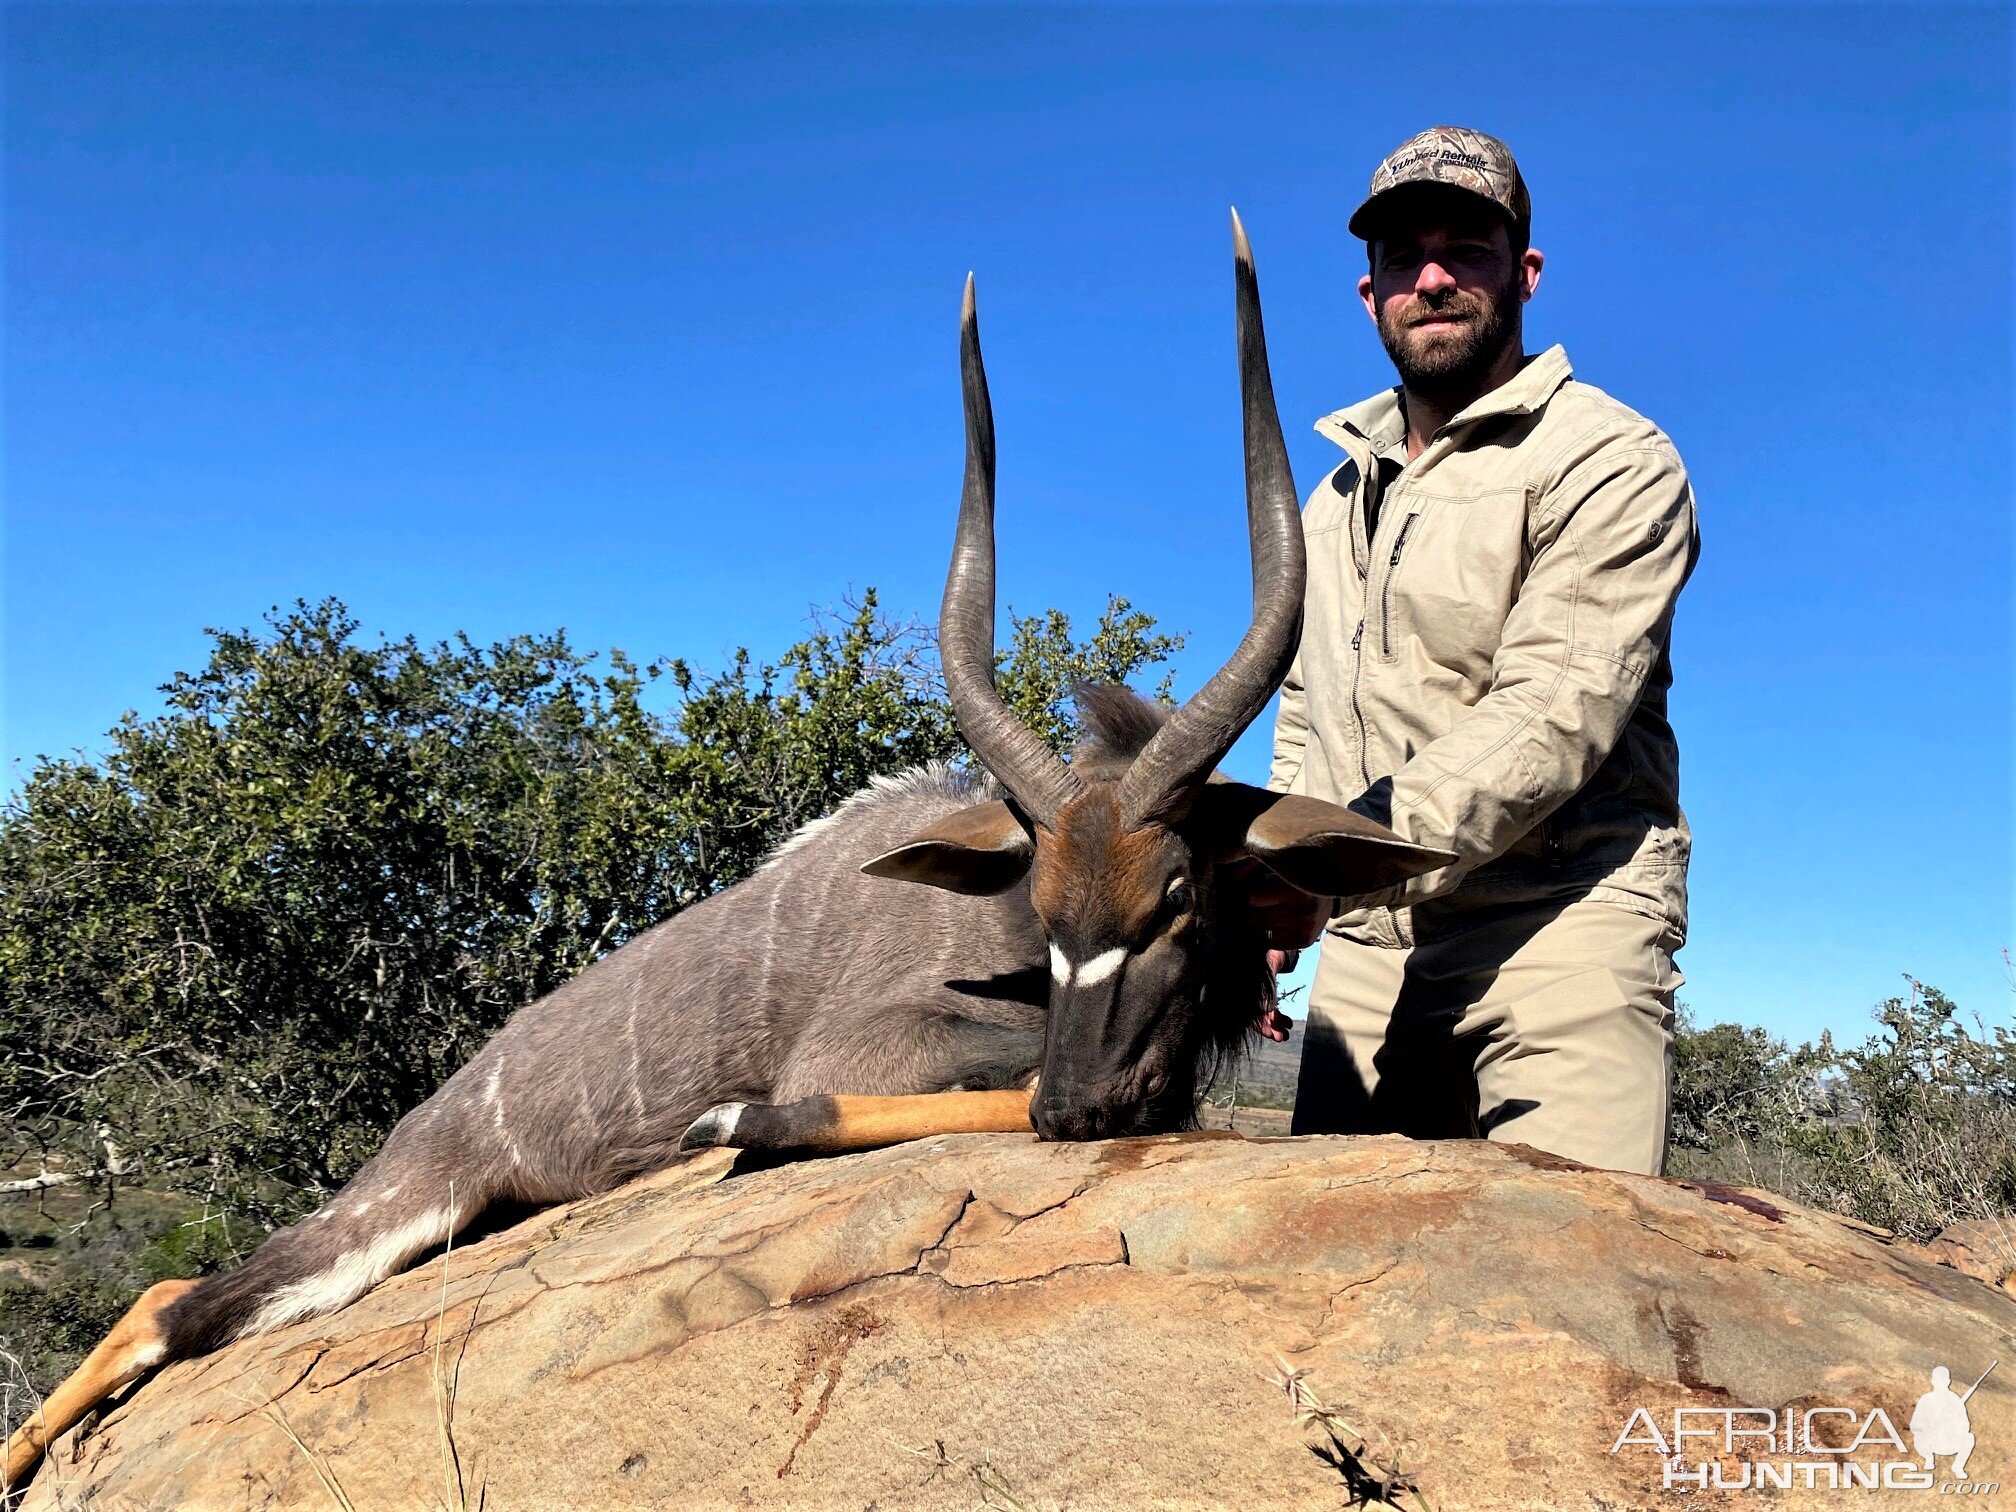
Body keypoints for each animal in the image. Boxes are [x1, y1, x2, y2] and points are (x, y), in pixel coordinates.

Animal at [0, 210, 1451, 1491]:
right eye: (1043, 903)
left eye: (1178, 893)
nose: (1078, 1108)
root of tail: (449, 1105)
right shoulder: (890, 1051)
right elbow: (936, 1092)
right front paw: (729, 1117)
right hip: (388, 1214)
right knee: (172, 1300)